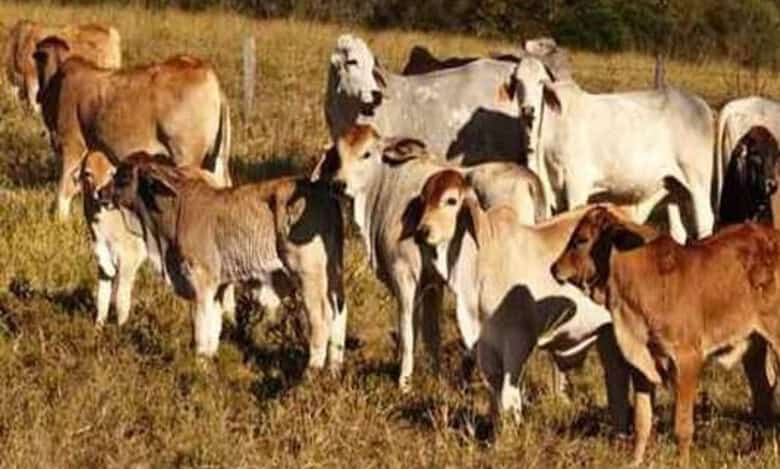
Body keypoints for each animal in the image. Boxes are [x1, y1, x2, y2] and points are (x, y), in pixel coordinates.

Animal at [103, 153, 346, 371]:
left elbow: (201, 329)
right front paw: (210, 360)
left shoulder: (201, 280)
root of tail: (322, 191)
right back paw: (334, 368)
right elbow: (214, 327)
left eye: (123, 176)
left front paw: (200, 366)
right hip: (333, 273)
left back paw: (312, 372)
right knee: (339, 313)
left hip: (308, 274)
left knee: (321, 319)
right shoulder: (219, 285)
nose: (100, 192)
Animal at [313, 124, 549, 392]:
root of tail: (528, 179)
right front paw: (436, 378)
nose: (338, 184)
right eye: (338, 155)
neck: (388, 187)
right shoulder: (432, 283)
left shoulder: (405, 276)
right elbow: (431, 333)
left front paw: (404, 384)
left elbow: (407, 332)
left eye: (366, 153)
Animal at [413, 168, 661, 430]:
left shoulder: (517, 339)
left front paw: (511, 431)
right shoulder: (485, 343)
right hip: (608, 336)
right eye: (424, 199)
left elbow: (509, 395)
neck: (481, 262)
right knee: (616, 382)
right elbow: (494, 394)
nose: (422, 231)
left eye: (450, 200)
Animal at [512, 58, 717, 243]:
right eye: (517, 81)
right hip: (672, 185)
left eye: (541, 81)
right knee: (678, 231)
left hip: (697, 180)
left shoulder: (576, 182)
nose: (528, 109)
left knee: (705, 220)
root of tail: (700, 104)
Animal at [551, 207, 780, 467]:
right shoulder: (642, 365)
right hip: (755, 347)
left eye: (582, 239)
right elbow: (642, 421)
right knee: (763, 395)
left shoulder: (687, 360)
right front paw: (635, 461)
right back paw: (753, 450)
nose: (554, 268)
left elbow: (682, 426)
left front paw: (682, 463)